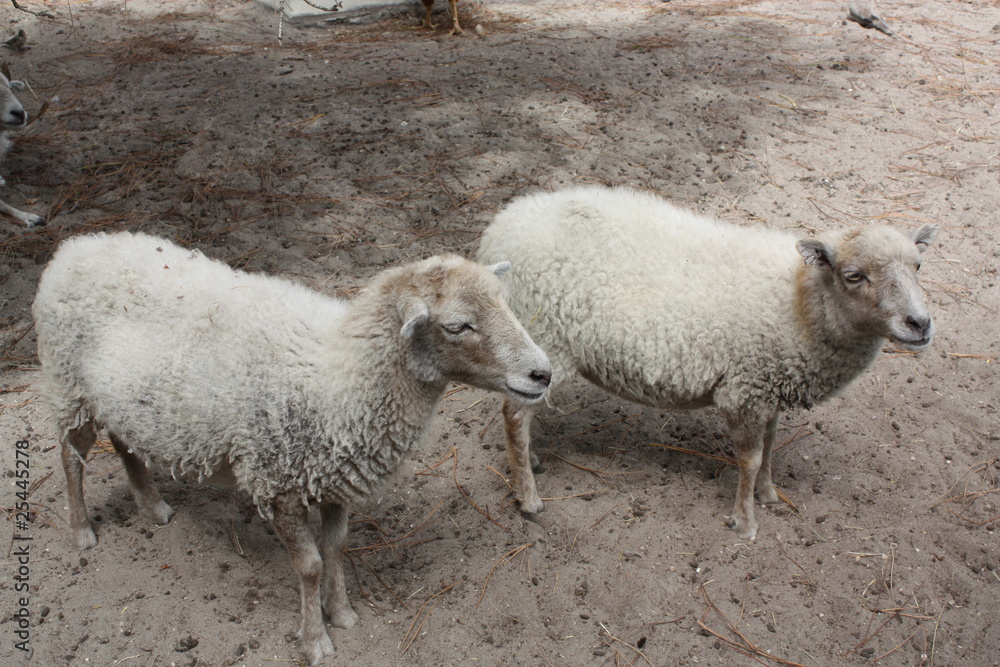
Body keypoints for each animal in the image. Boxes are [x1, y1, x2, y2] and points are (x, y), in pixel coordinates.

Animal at [34, 232, 551, 665]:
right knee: (69, 457)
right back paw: (81, 530)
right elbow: (309, 565)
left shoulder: (337, 476)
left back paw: (153, 505)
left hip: (121, 398)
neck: (342, 376)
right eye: (458, 326)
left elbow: (337, 548)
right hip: (69, 386)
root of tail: (73, 248)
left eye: (504, 304)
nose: (542, 373)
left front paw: (341, 613)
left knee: (124, 443)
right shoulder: (276, 480)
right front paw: (315, 639)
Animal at [477, 186, 938, 541]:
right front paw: (745, 521)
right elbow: (749, 459)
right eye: (853, 275)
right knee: (514, 415)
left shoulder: (768, 386)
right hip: (546, 340)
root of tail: (500, 228)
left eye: (918, 265)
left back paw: (532, 461)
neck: (797, 301)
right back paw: (528, 496)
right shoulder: (744, 390)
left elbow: (770, 445)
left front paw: (768, 494)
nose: (920, 324)